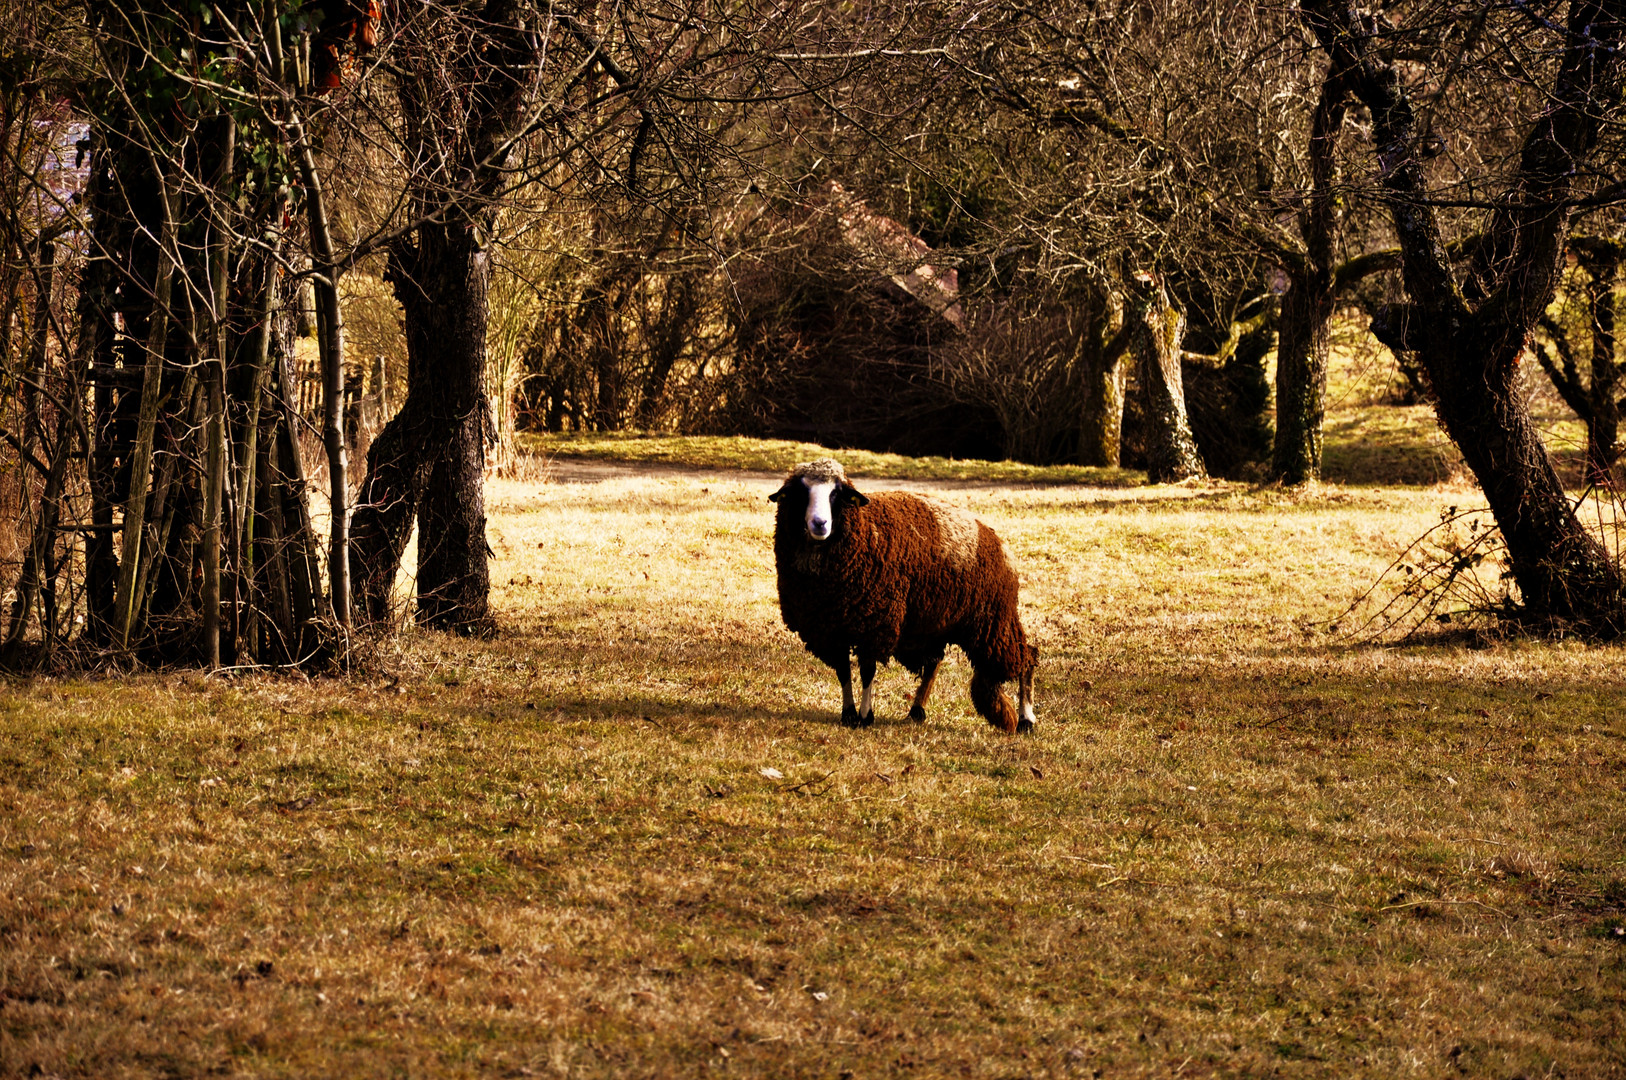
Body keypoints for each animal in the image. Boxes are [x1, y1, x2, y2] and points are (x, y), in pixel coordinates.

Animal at [764, 458, 1034, 735]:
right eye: (801, 492)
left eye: (836, 494)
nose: (820, 524)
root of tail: (997, 541)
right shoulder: (830, 629)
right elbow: (843, 672)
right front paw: (848, 713)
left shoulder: (873, 624)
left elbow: (867, 671)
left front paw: (865, 716)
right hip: (936, 624)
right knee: (935, 662)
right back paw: (917, 710)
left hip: (992, 622)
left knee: (1028, 658)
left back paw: (1026, 719)